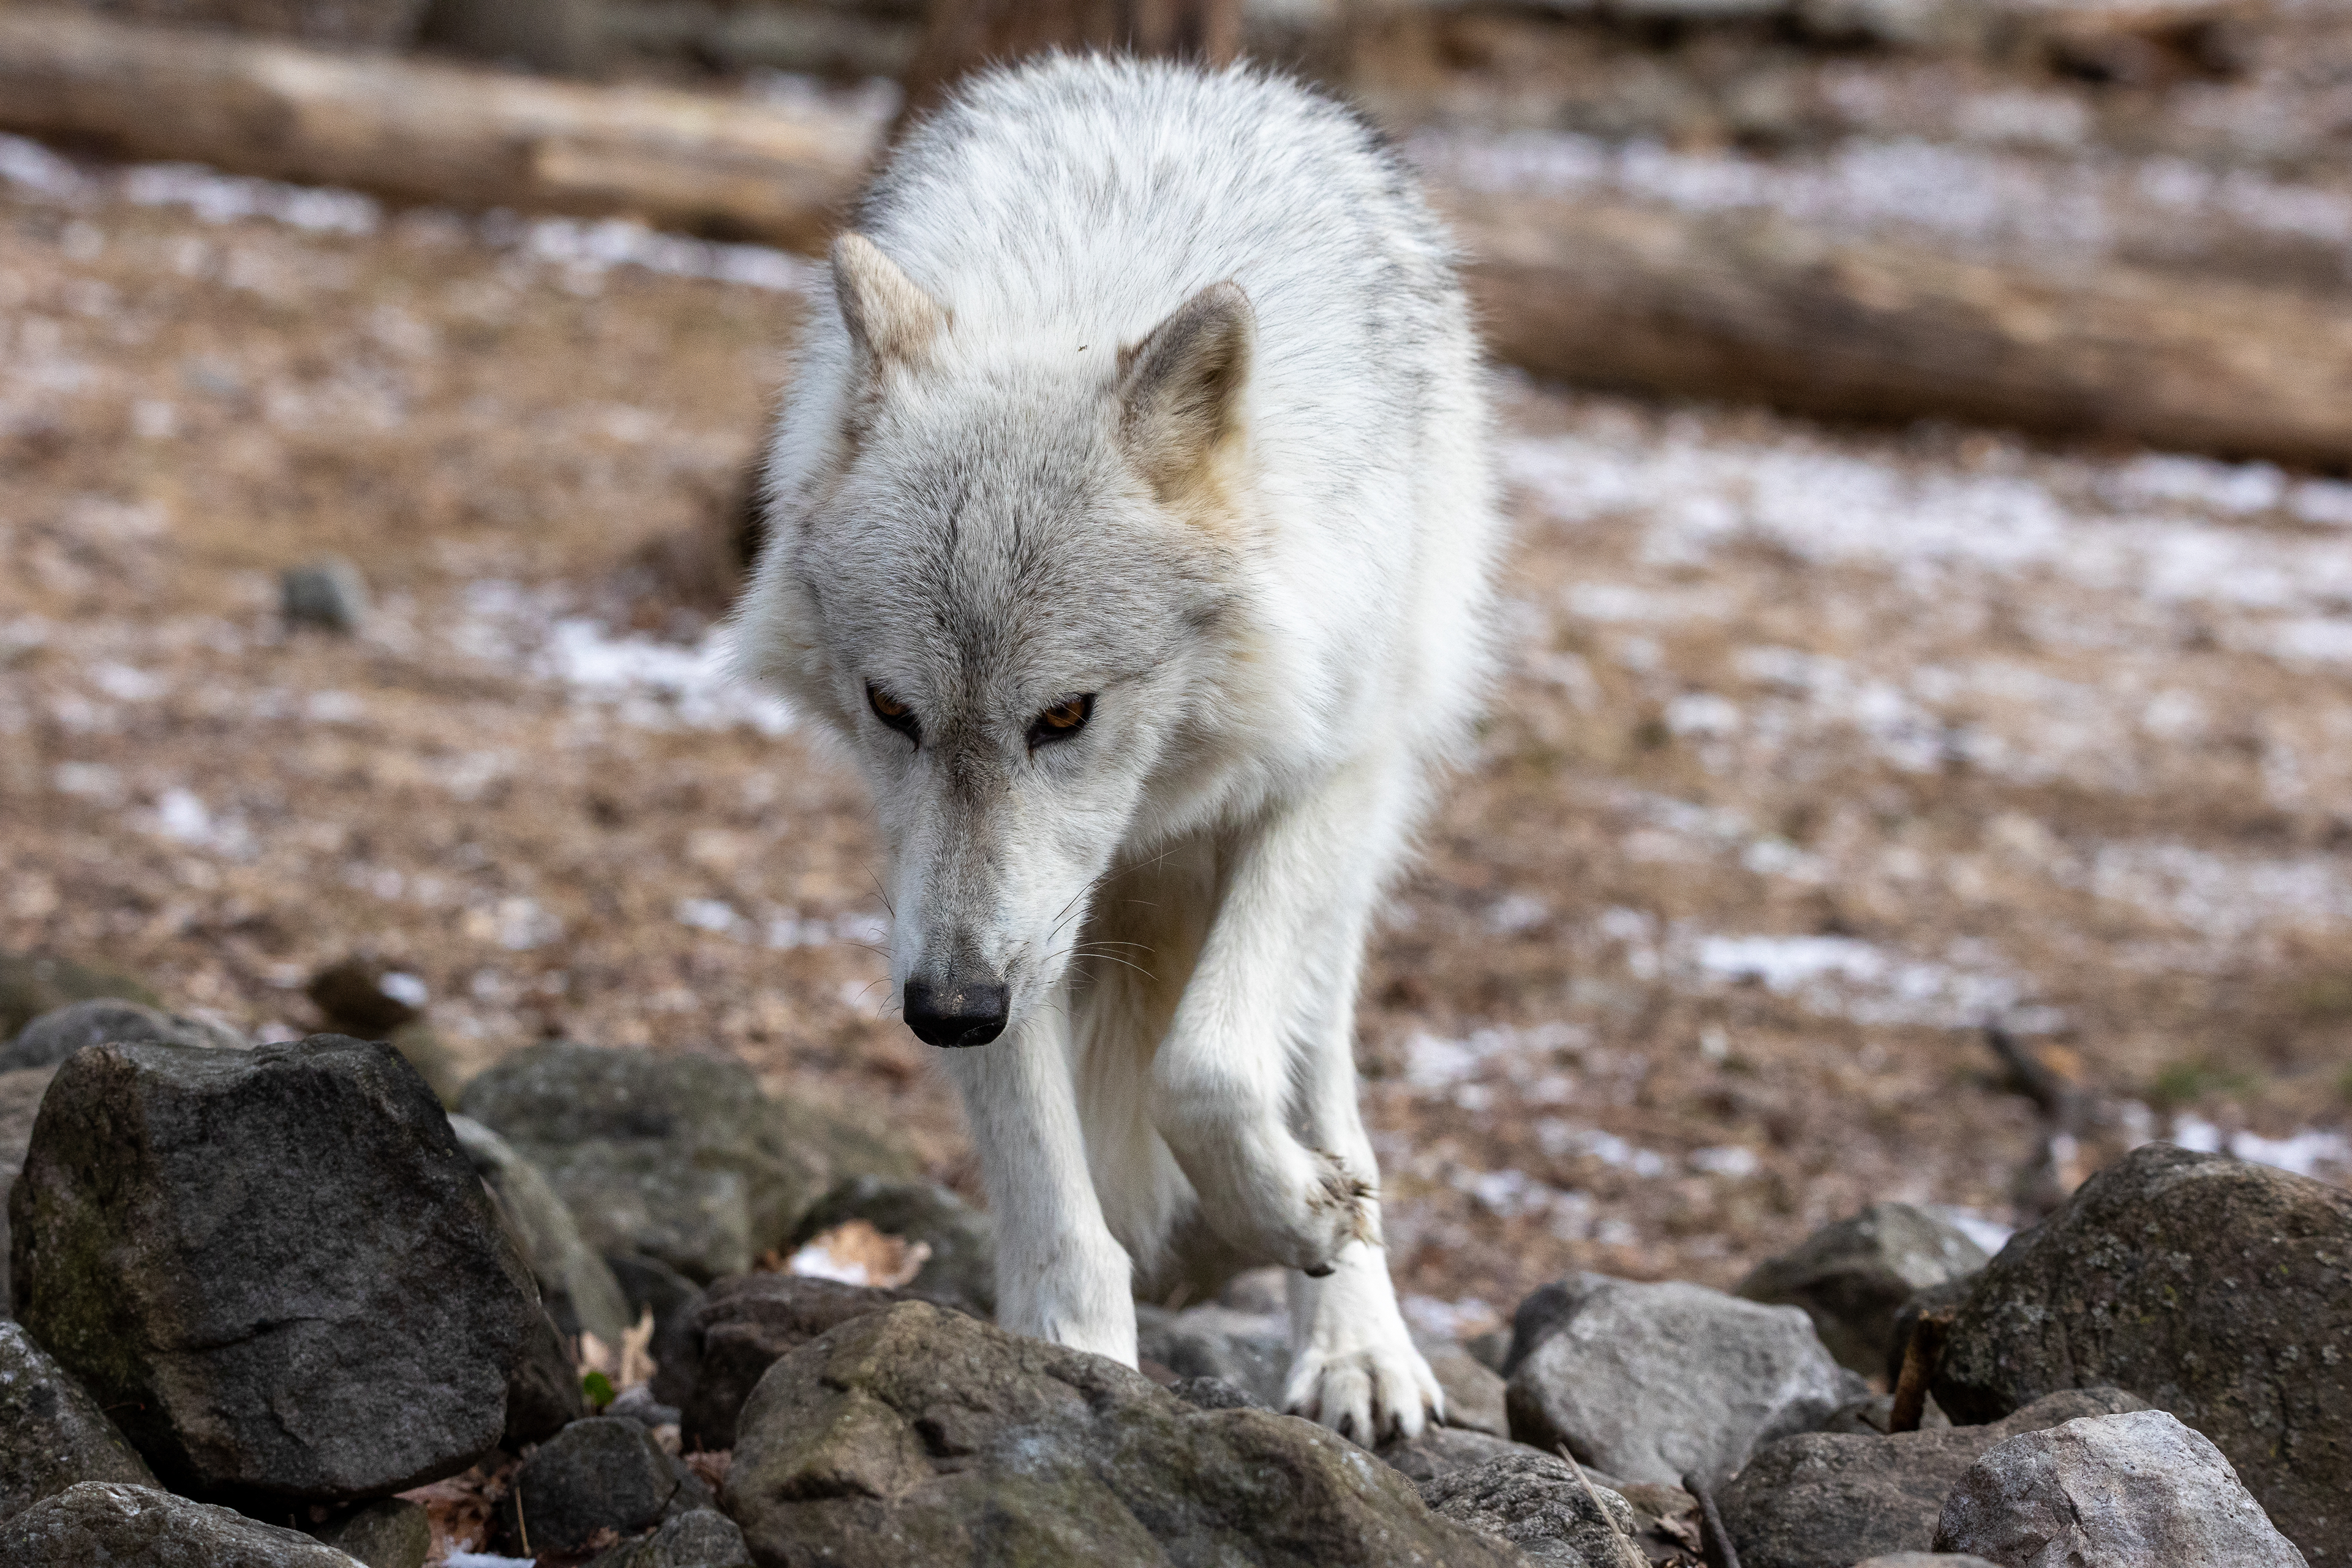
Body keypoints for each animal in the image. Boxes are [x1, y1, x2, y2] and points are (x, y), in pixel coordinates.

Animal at [733, 55, 1500, 1440]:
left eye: (1065, 716)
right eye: (893, 711)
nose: (948, 1012)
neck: (1074, 302)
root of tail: (1188, 73)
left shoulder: (1328, 773)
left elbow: (1207, 1067)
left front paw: (1298, 1215)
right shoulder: (943, 900)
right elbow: (1056, 1197)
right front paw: (1067, 1367)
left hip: (1358, 830)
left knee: (1318, 1073)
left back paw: (1358, 1343)